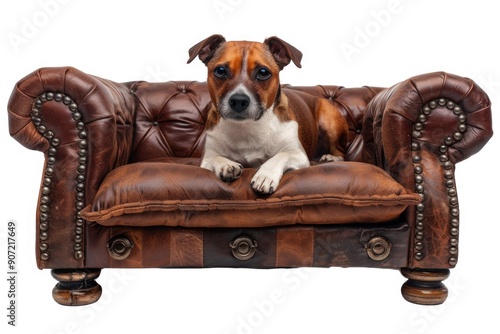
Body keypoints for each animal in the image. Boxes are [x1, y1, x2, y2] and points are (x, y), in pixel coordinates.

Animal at [188, 34, 348, 193]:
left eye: (263, 72)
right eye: (220, 71)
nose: (239, 101)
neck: (247, 127)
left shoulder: (298, 155)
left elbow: (281, 155)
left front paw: (265, 175)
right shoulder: (207, 158)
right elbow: (215, 158)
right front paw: (226, 164)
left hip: (329, 122)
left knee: (341, 152)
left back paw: (330, 157)